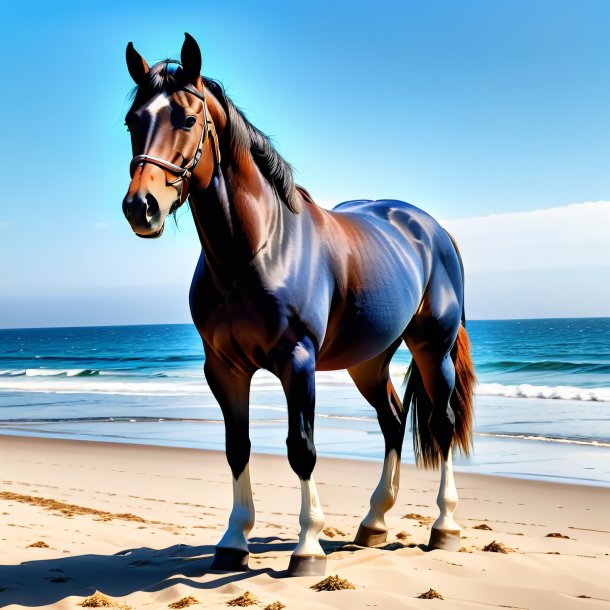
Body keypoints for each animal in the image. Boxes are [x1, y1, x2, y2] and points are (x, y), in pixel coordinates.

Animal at [121, 32, 472, 576]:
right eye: (132, 121)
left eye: (186, 119)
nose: (142, 207)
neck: (255, 253)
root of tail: (430, 228)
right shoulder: (223, 369)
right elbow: (237, 447)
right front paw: (233, 541)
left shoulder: (298, 362)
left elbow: (301, 449)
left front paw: (308, 547)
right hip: (369, 360)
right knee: (392, 422)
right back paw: (373, 523)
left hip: (432, 349)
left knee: (443, 425)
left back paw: (444, 527)